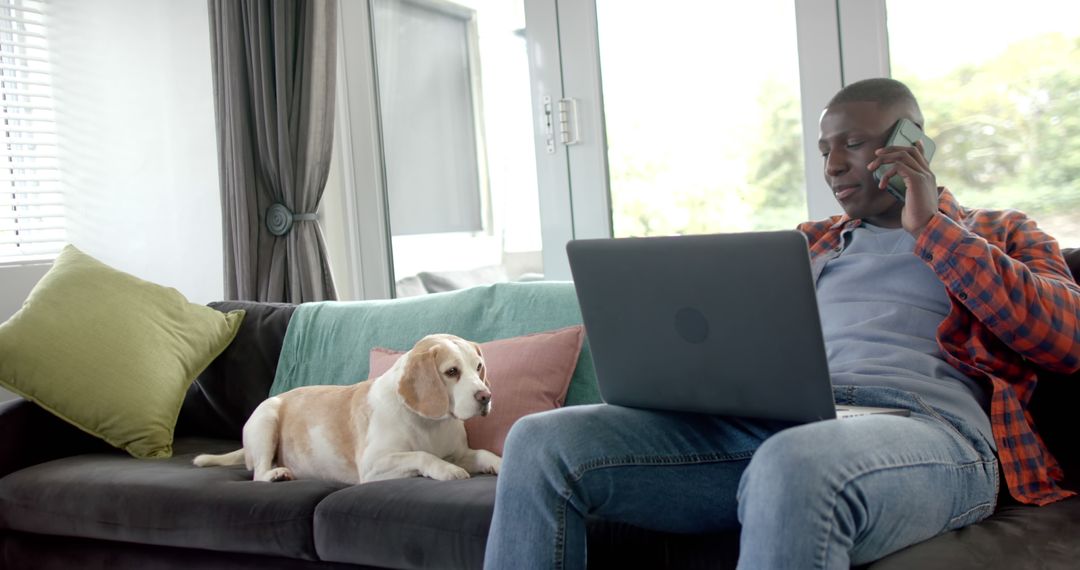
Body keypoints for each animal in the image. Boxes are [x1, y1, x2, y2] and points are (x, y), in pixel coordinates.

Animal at [192, 334, 498, 485]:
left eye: (479, 367)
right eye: (452, 371)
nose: (485, 396)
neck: (429, 423)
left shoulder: (460, 452)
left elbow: (483, 453)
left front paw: (498, 462)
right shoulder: (373, 466)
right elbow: (422, 455)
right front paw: (447, 471)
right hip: (266, 420)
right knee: (258, 474)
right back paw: (275, 474)